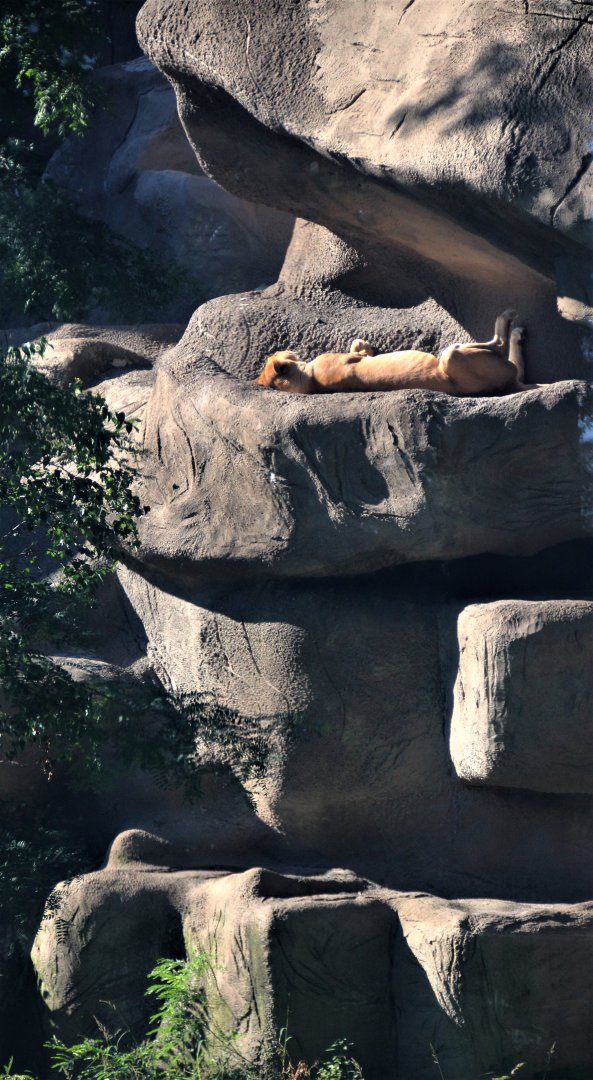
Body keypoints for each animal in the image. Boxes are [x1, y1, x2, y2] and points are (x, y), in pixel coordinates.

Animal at [255, 310, 542, 396]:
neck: (309, 381)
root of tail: (510, 386)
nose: (285, 347)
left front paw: (362, 342)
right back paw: (508, 321)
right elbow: (359, 355)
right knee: (500, 344)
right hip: (451, 357)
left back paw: (516, 331)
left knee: (516, 363)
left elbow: (358, 348)